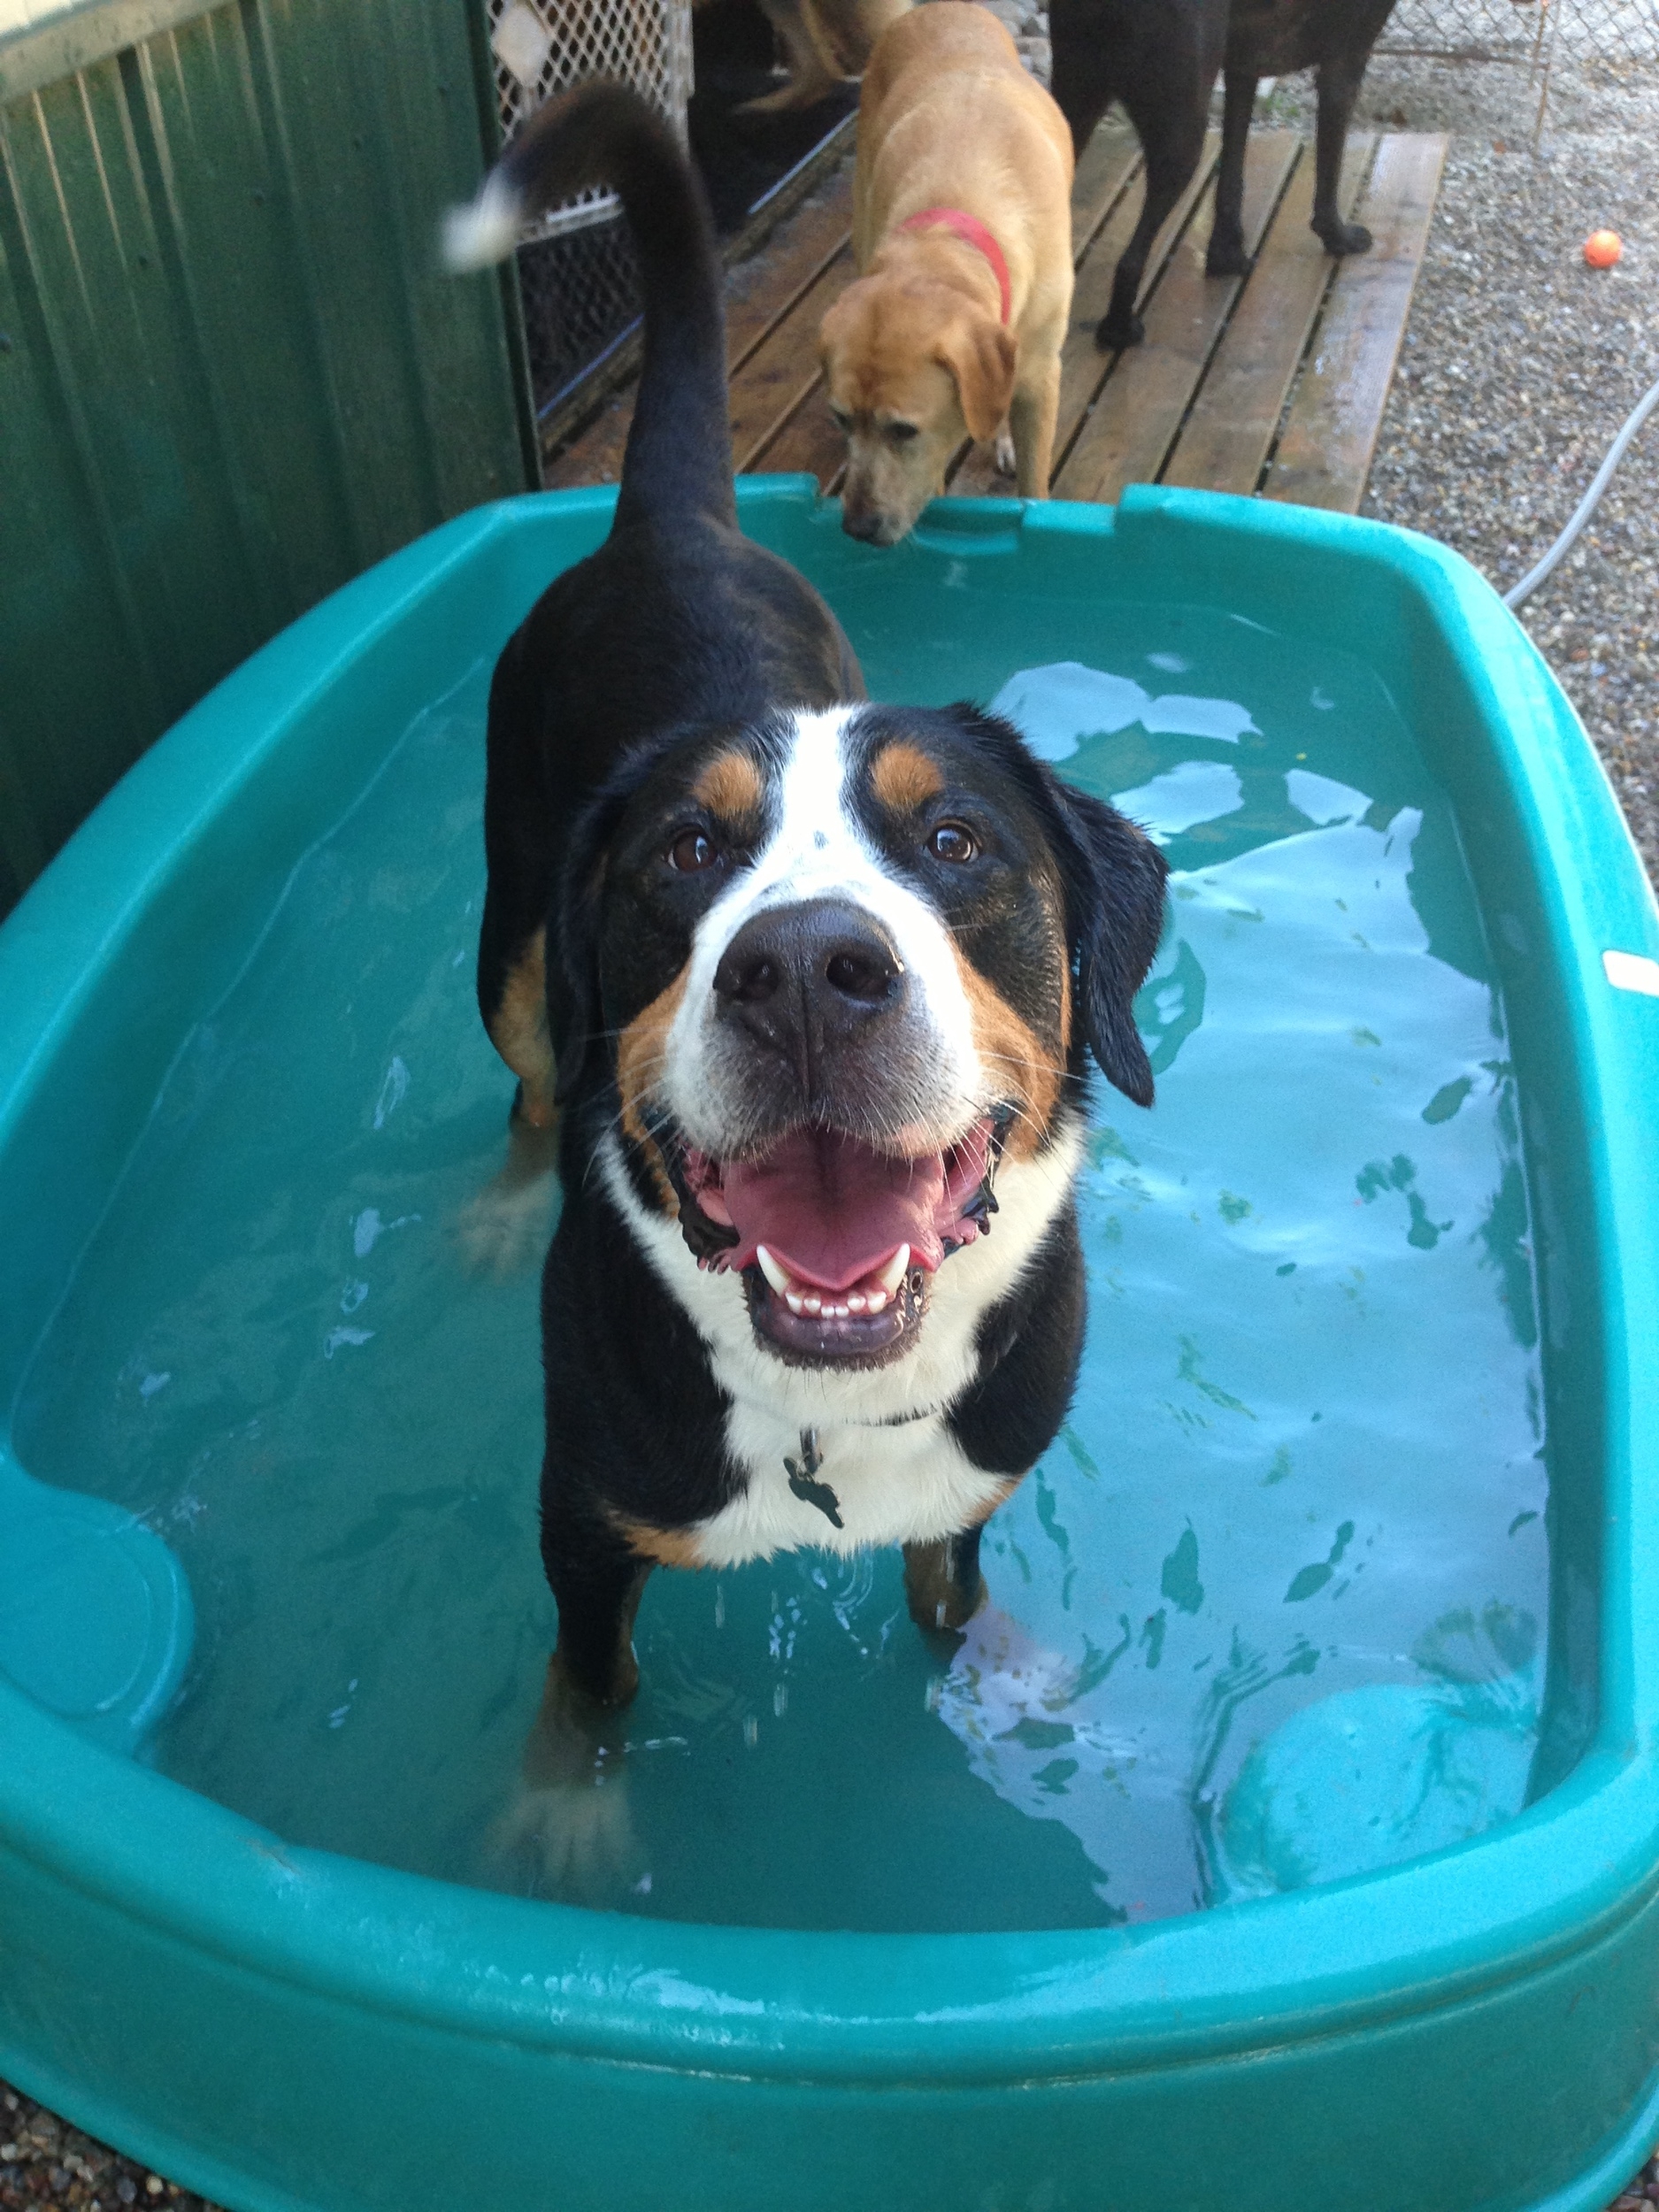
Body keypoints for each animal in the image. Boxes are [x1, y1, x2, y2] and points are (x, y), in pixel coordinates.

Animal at [442, 81, 1168, 1885]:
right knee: (527, 1075)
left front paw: (997, 1687)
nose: (804, 973)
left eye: (956, 839)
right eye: (683, 858)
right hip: (509, 933)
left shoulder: (971, 1485)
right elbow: (590, 1672)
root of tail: (676, 522)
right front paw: (562, 1810)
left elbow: (949, 1601)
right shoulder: (582, 1509)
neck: (831, 1404)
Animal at [818, 6, 1079, 541]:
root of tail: (931, 8)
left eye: (903, 430)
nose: (857, 528)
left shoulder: (1041, 375)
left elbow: (1034, 483)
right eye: (840, 419)